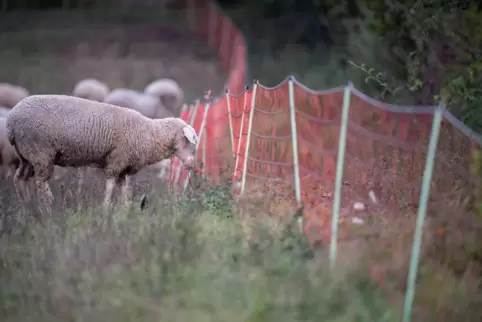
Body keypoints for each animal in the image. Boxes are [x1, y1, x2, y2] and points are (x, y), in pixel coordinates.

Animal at [6, 93, 198, 209]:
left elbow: (122, 189)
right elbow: (110, 186)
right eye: (189, 142)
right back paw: (49, 206)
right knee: (41, 182)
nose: (191, 165)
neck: (149, 133)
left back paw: (28, 206)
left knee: (19, 179)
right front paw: (105, 208)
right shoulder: (116, 159)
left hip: (27, 155)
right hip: (40, 151)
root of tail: (11, 122)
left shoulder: (123, 166)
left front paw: (124, 209)